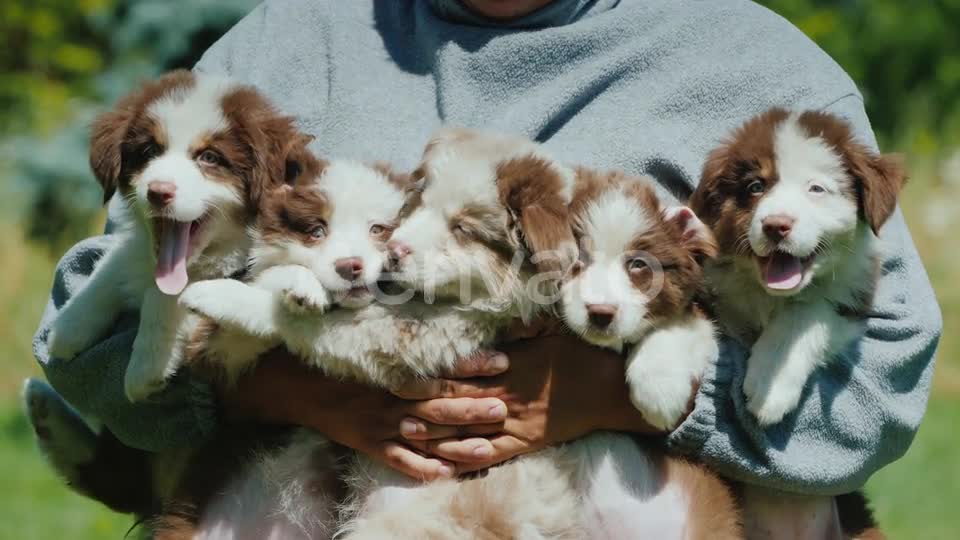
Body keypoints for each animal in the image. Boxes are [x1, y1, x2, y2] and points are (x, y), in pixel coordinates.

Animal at [44, 68, 308, 400]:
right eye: (149, 151)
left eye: (209, 157)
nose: (158, 192)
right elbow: (116, 262)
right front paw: (70, 323)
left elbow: (168, 292)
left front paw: (146, 366)